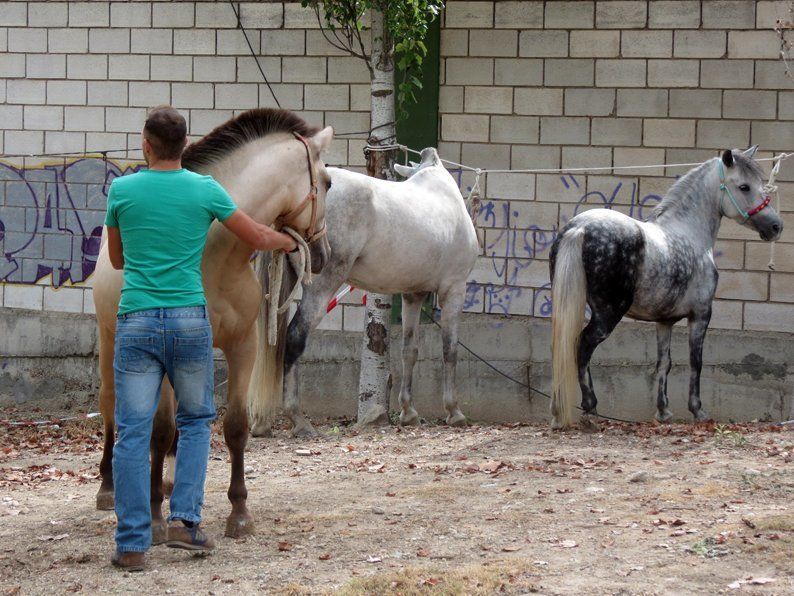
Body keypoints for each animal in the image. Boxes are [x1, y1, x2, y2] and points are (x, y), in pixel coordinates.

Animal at [93, 109, 334, 536]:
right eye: (327, 182)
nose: (321, 254)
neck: (217, 255)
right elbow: (161, 430)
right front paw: (156, 516)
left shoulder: (242, 348)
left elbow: (235, 427)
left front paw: (239, 513)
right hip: (110, 341)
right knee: (111, 406)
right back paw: (109, 487)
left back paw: (168, 482)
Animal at [251, 148, 480, 438]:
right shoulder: (454, 289)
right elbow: (450, 350)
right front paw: (454, 412)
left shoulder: (413, 295)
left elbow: (409, 351)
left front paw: (409, 412)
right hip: (323, 284)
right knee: (295, 336)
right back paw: (299, 420)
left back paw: (261, 423)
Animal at [548, 148, 784, 428]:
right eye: (744, 186)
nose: (776, 226)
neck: (688, 231)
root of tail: (580, 228)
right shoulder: (701, 315)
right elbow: (696, 362)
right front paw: (698, 411)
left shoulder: (664, 322)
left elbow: (664, 363)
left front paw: (663, 412)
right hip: (607, 315)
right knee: (582, 346)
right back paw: (589, 407)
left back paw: (557, 410)